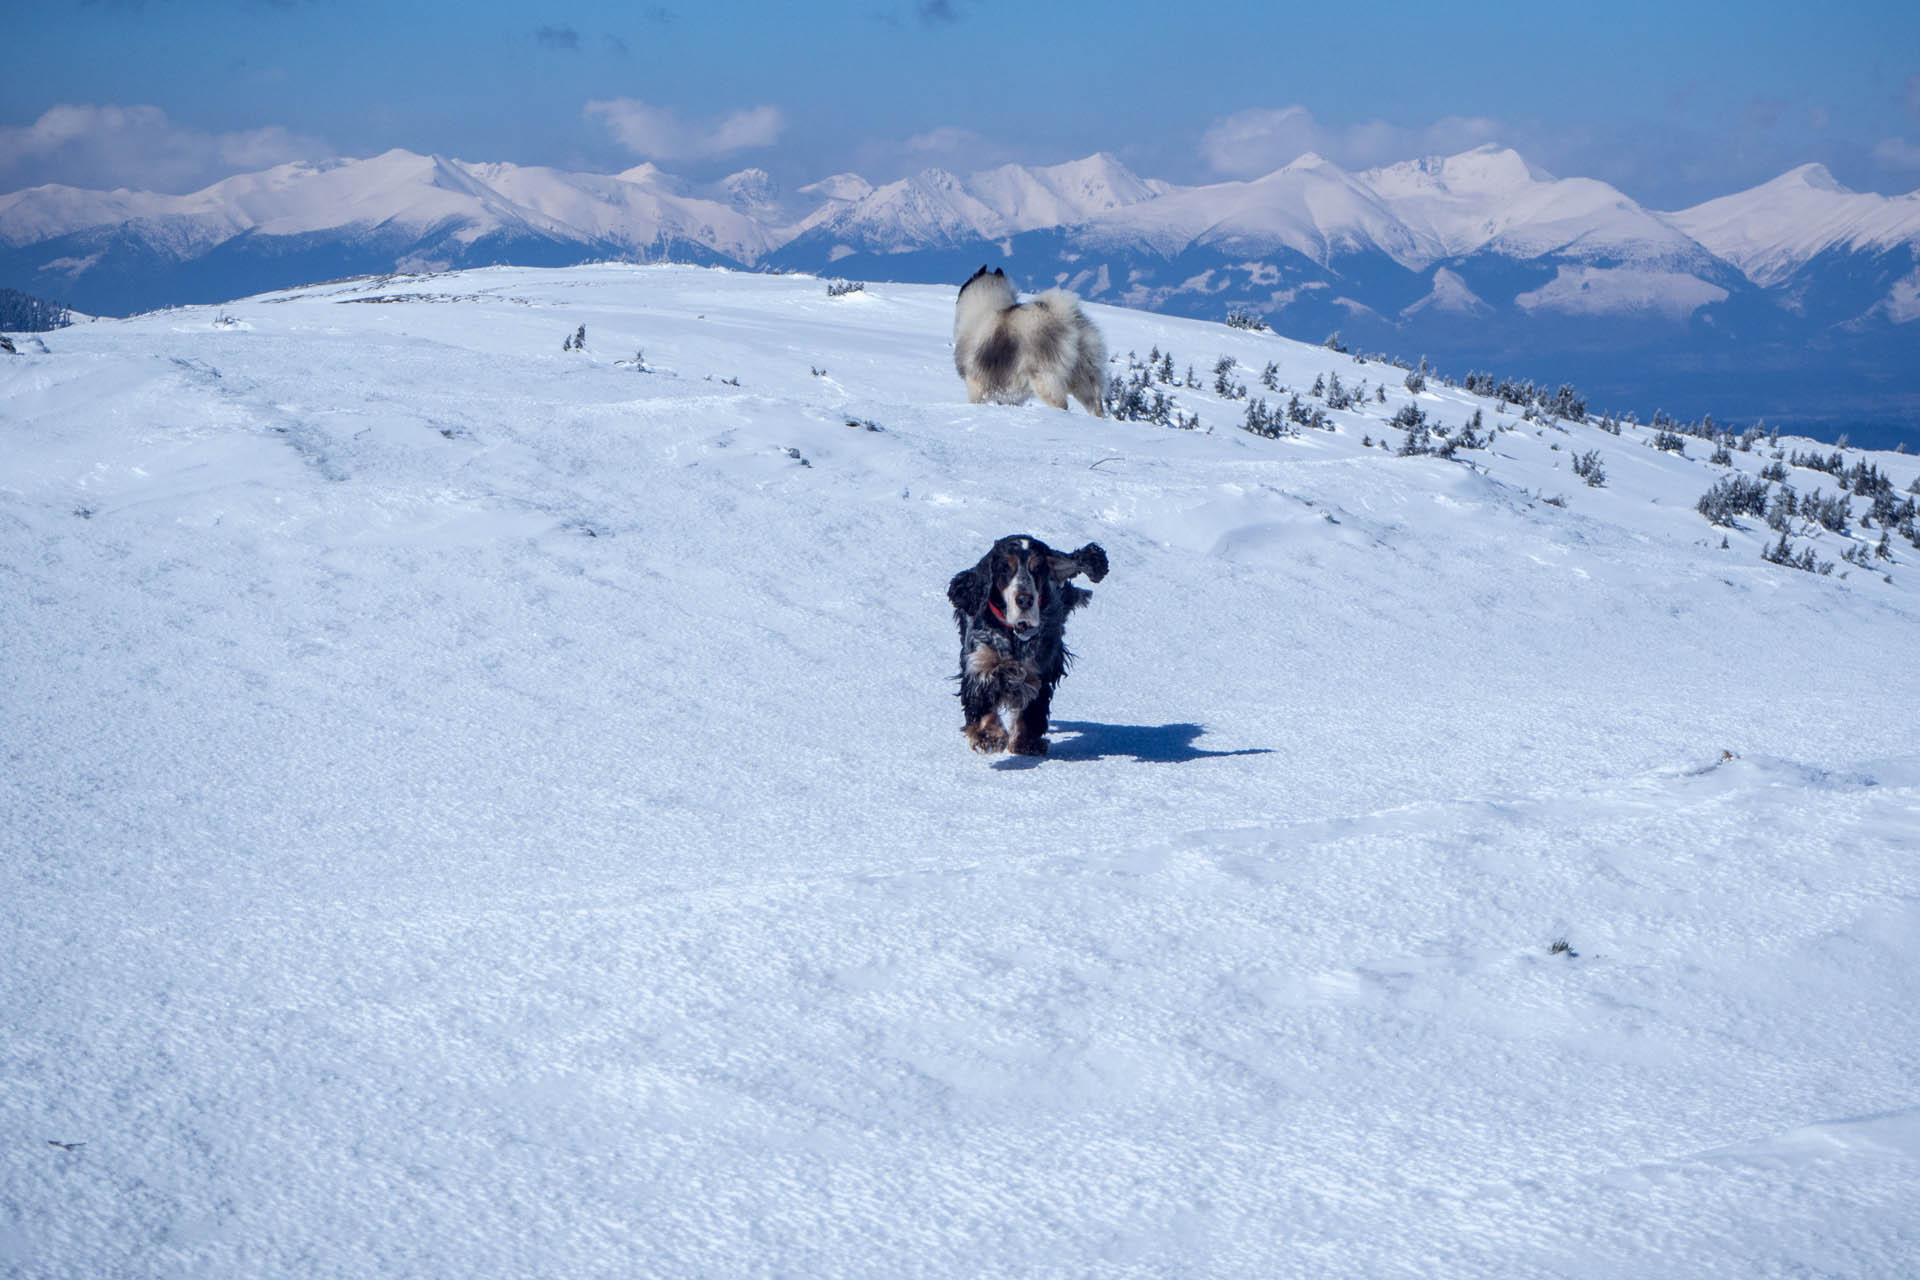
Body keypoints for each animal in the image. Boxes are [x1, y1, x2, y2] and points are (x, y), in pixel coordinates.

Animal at [948, 537, 1113, 756]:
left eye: (1038, 568)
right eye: (1005, 568)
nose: (1025, 599)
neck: (1015, 634)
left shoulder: (1039, 670)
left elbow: (1031, 710)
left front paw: (1026, 743)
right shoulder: (979, 662)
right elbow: (981, 702)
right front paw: (988, 737)